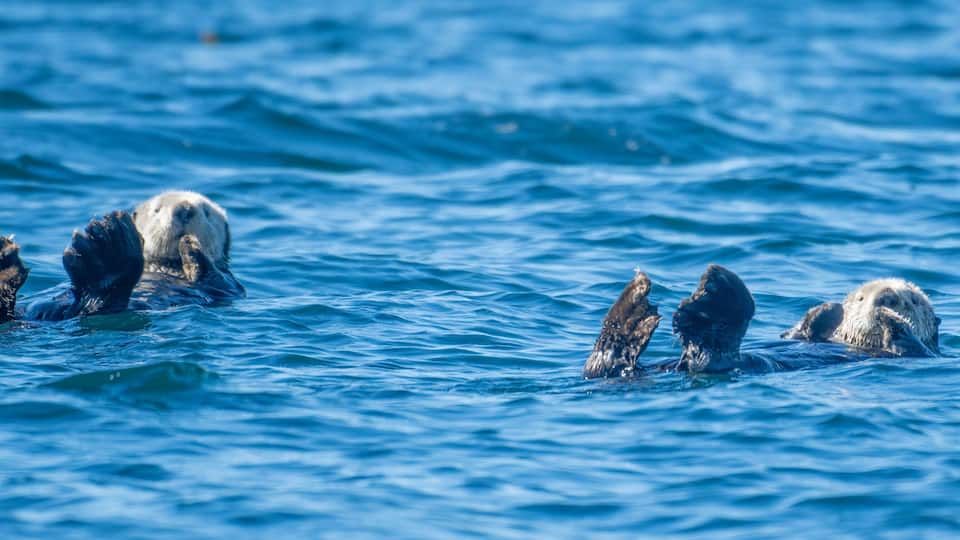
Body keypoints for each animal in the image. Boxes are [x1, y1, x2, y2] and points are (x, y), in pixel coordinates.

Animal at [0, 191, 244, 323]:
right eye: (157, 210)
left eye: (207, 213)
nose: (184, 209)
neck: (164, 266)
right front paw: (189, 244)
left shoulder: (228, 284)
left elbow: (215, 278)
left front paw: (190, 246)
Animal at [583, 265, 941, 378]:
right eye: (861, 299)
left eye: (913, 301)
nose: (887, 298)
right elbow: (796, 333)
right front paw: (826, 310)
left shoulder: (919, 353)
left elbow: (908, 341)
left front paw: (891, 318)